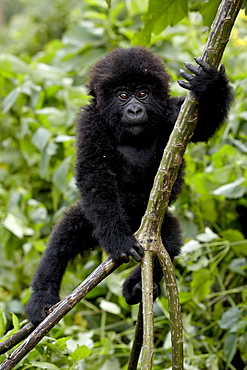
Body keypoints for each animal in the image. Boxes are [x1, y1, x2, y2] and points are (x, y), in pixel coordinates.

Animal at [26, 46, 233, 324]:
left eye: (142, 93)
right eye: (123, 95)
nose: (134, 110)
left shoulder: (174, 112)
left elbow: (202, 127)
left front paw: (210, 84)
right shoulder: (90, 123)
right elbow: (95, 175)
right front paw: (118, 240)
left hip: (152, 228)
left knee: (168, 241)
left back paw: (136, 286)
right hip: (94, 222)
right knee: (64, 236)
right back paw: (41, 297)